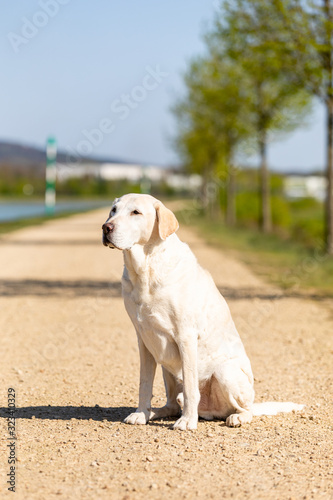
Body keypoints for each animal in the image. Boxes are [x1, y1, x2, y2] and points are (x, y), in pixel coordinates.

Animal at [102, 194, 304, 430]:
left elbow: (191, 388)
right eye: (113, 210)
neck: (145, 268)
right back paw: (156, 412)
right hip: (166, 366)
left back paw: (234, 417)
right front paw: (141, 414)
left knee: (245, 409)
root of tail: (210, 411)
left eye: (136, 212)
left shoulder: (186, 336)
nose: (106, 227)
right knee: (173, 404)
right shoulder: (144, 340)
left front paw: (187, 421)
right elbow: (144, 384)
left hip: (225, 372)